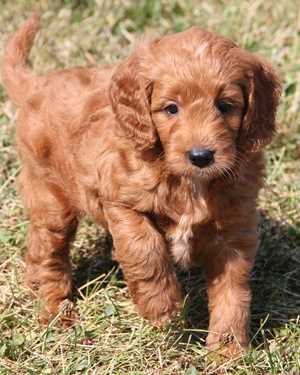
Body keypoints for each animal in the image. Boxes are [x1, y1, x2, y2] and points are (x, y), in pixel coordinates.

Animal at [1, 14, 282, 356]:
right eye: (171, 108)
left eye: (225, 106)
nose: (201, 156)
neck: (187, 182)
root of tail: (37, 85)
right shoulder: (121, 201)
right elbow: (145, 250)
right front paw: (163, 308)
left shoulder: (234, 228)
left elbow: (233, 290)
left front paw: (228, 349)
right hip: (51, 197)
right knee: (48, 251)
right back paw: (57, 311)